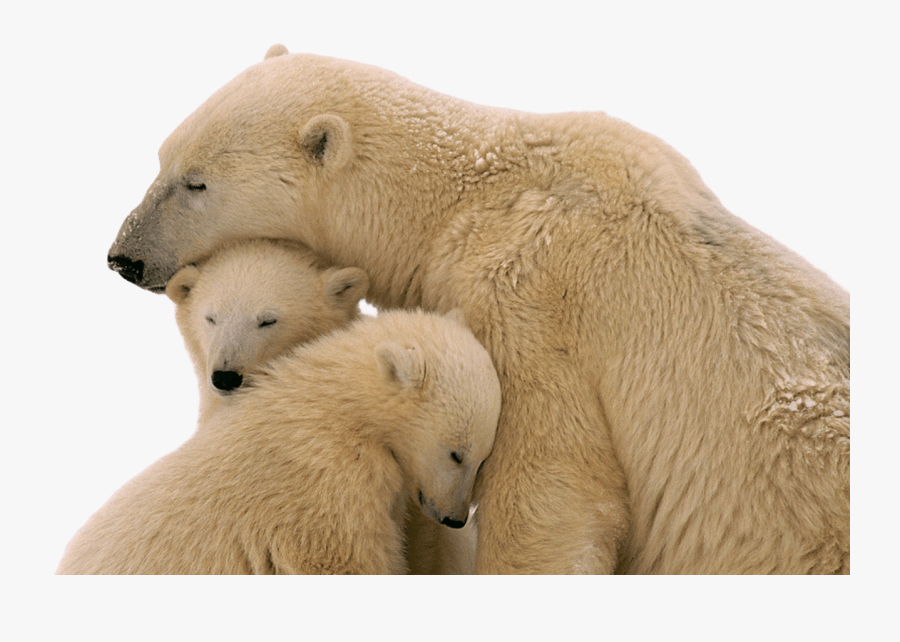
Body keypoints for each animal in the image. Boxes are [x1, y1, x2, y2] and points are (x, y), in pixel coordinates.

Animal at [56, 309, 501, 574]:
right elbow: (344, 558)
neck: (339, 407)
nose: (455, 517)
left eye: (483, 458)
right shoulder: (325, 484)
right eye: (457, 454)